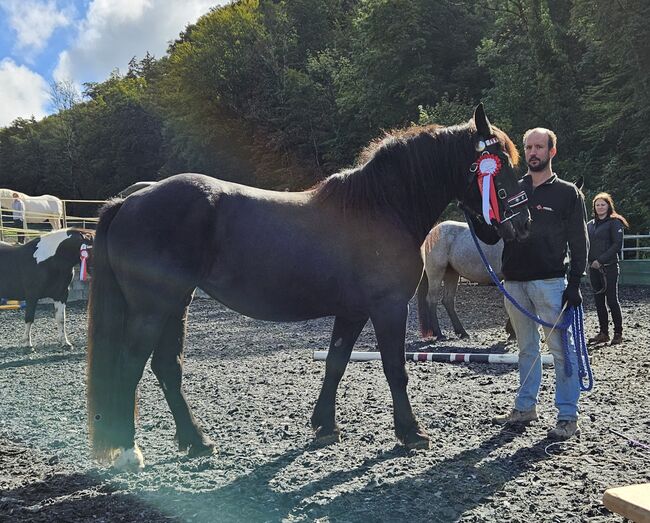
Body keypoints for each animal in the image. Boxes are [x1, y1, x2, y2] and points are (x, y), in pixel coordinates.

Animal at [87, 104, 532, 468]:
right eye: (499, 163)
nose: (522, 224)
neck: (381, 207)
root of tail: (131, 199)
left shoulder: (352, 311)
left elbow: (335, 363)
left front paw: (324, 426)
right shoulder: (387, 307)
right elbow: (395, 369)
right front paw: (410, 433)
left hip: (176, 302)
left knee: (166, 366)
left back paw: (196, 441)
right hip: (153, 306)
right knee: (131, 364)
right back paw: (129, 451)